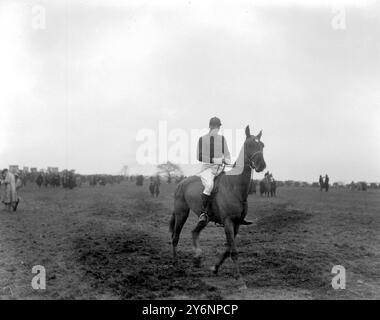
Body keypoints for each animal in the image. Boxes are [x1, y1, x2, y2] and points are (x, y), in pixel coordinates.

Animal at [170, 126, 268, 284]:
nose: (261, 166)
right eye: (249, 145)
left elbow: (228, 249)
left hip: (204, 218)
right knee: (175, 236)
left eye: (262, 145)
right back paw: (175, 263)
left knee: (194, 232)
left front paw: (215, 268)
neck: (234, 186)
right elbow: (233, 251)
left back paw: (197, 258)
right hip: (182, 213)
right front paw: (240, 280)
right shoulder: (228, 222)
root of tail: (181, 183)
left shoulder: (237, 224)